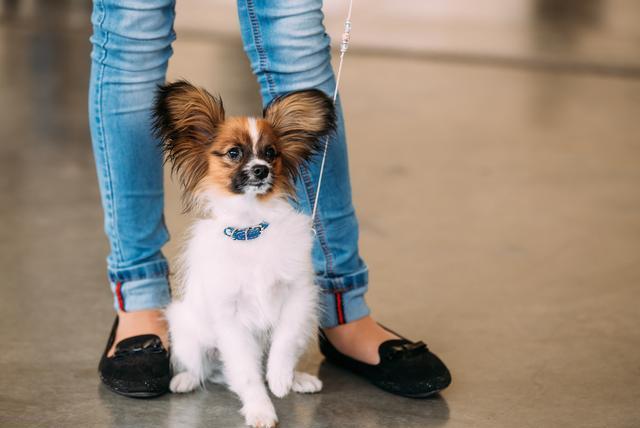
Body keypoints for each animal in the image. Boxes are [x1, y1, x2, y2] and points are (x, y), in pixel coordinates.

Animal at [153, 81, 338, 428]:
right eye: (234, 153)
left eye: (271, 153)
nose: (261, 170)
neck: (251, 229)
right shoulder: (231, 319)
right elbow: (249, 375)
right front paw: (261, 411)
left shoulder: (298, 296)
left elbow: (284, 341)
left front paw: (280, 379)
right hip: (187, 331)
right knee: (202, 367)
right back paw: (185, 380)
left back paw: (298, 378)